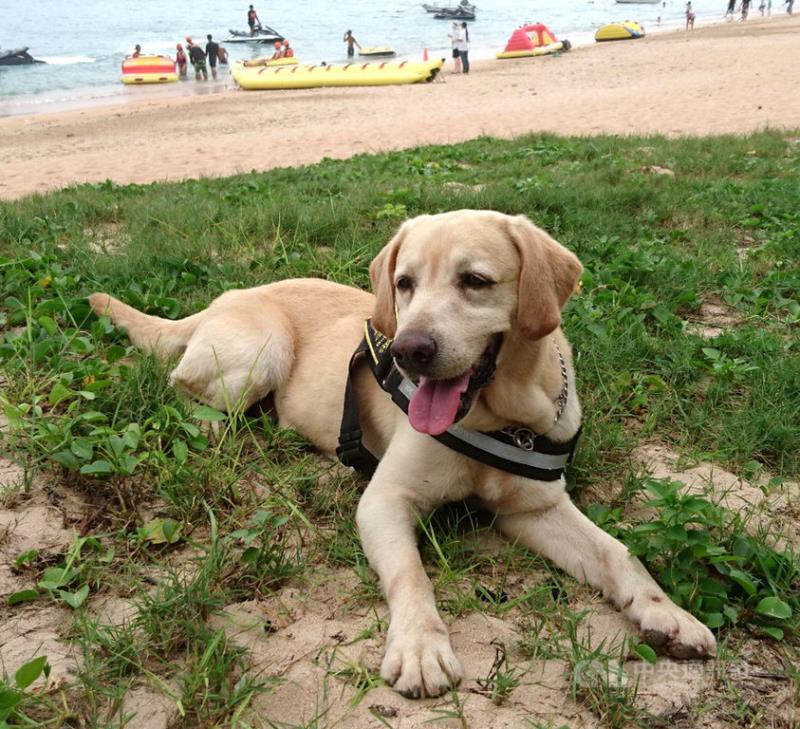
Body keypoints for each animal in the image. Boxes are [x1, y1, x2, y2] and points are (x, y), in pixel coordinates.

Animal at [90, 209, 716, 692]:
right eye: (406, 282)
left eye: (475, 280)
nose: (408, 350)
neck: (499, 418)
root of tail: (225, 297)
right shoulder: (384, 499)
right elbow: (412, 575)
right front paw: (419, 647)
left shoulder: (535, 510)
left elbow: (619, 553)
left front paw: (667, 613)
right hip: (258, 356)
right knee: (178, 385)